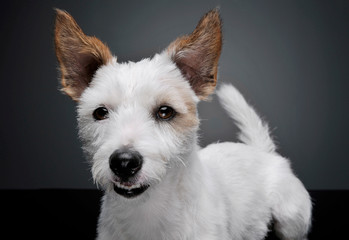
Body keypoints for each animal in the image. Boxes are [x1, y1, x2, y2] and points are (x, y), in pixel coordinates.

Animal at [53, 8, 310, 239]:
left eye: (165, 112)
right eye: (100, 113)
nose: (124, 163)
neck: (147, 211)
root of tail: (262, 152)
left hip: (291, 217)